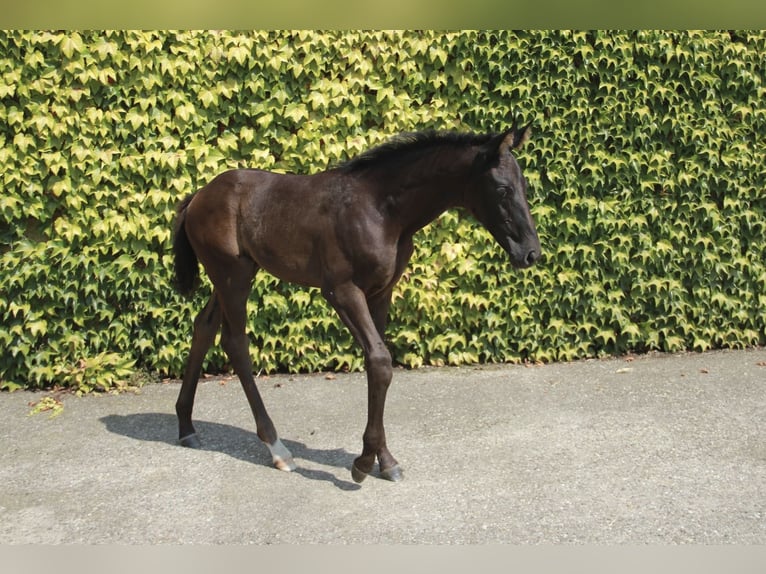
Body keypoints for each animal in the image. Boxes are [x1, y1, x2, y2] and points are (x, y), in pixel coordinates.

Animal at [172, 121, 541, 483]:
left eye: (523, 185)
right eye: (502, 189)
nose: (530, 253)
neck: (381, 210)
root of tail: (197, 196)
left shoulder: (380, 293)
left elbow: (376, 365)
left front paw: (385, 461)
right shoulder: (342, 291)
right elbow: (379, 361)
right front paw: (363, 463)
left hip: (231, 276)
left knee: (203, 328)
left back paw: (186, 427)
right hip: (233, 276)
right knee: (235, 343)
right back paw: (277, 448)